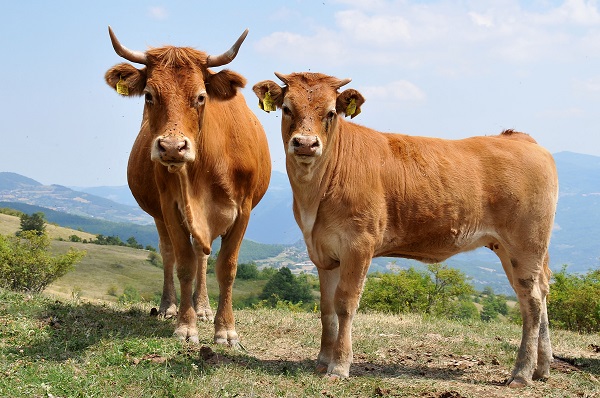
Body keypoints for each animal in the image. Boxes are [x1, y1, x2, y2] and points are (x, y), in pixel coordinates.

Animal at [105, 27, 270, 346]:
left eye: (201, 96)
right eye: (149, 95)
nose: (172, 147)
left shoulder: (243, 210)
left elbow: (226, 267)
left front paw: (225, 329)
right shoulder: (170, 205)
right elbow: (183, 263)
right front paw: (185, 325)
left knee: (202, 256)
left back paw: (203, 307)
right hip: (158, 213)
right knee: (169, 253)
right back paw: (169, 306)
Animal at [253, 70, 556, 386]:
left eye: (331, 112)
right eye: (287, 109)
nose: (305, 143)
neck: (313, 198)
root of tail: (520, 138)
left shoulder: (359, 244)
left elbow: (345, 304)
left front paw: (339, 366)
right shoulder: (323, 251)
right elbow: (326, 309)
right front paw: (322, 361)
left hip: (526, 243)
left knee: (532, 302)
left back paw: (521, 373)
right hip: (512, 248)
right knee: (541, 291)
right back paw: (542, 367)